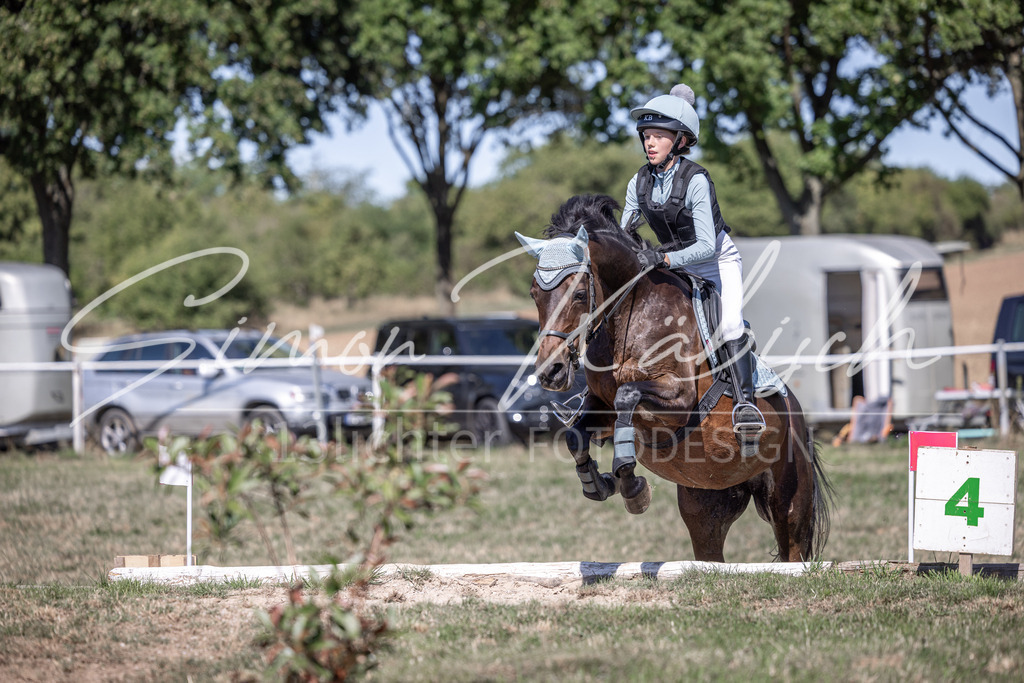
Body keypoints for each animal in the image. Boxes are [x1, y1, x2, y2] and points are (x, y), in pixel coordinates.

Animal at [516, 194, 832, 562]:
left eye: (579, 295)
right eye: (534, 294)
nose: (550, 372)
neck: (630, 318)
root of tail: (799, 416)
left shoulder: (678, 399)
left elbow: (628, 396)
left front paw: (632, 486)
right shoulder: (601, 408)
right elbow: (575, 435)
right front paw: (599, 483)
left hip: (789, 503)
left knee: (793, 548)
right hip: (706, 505)